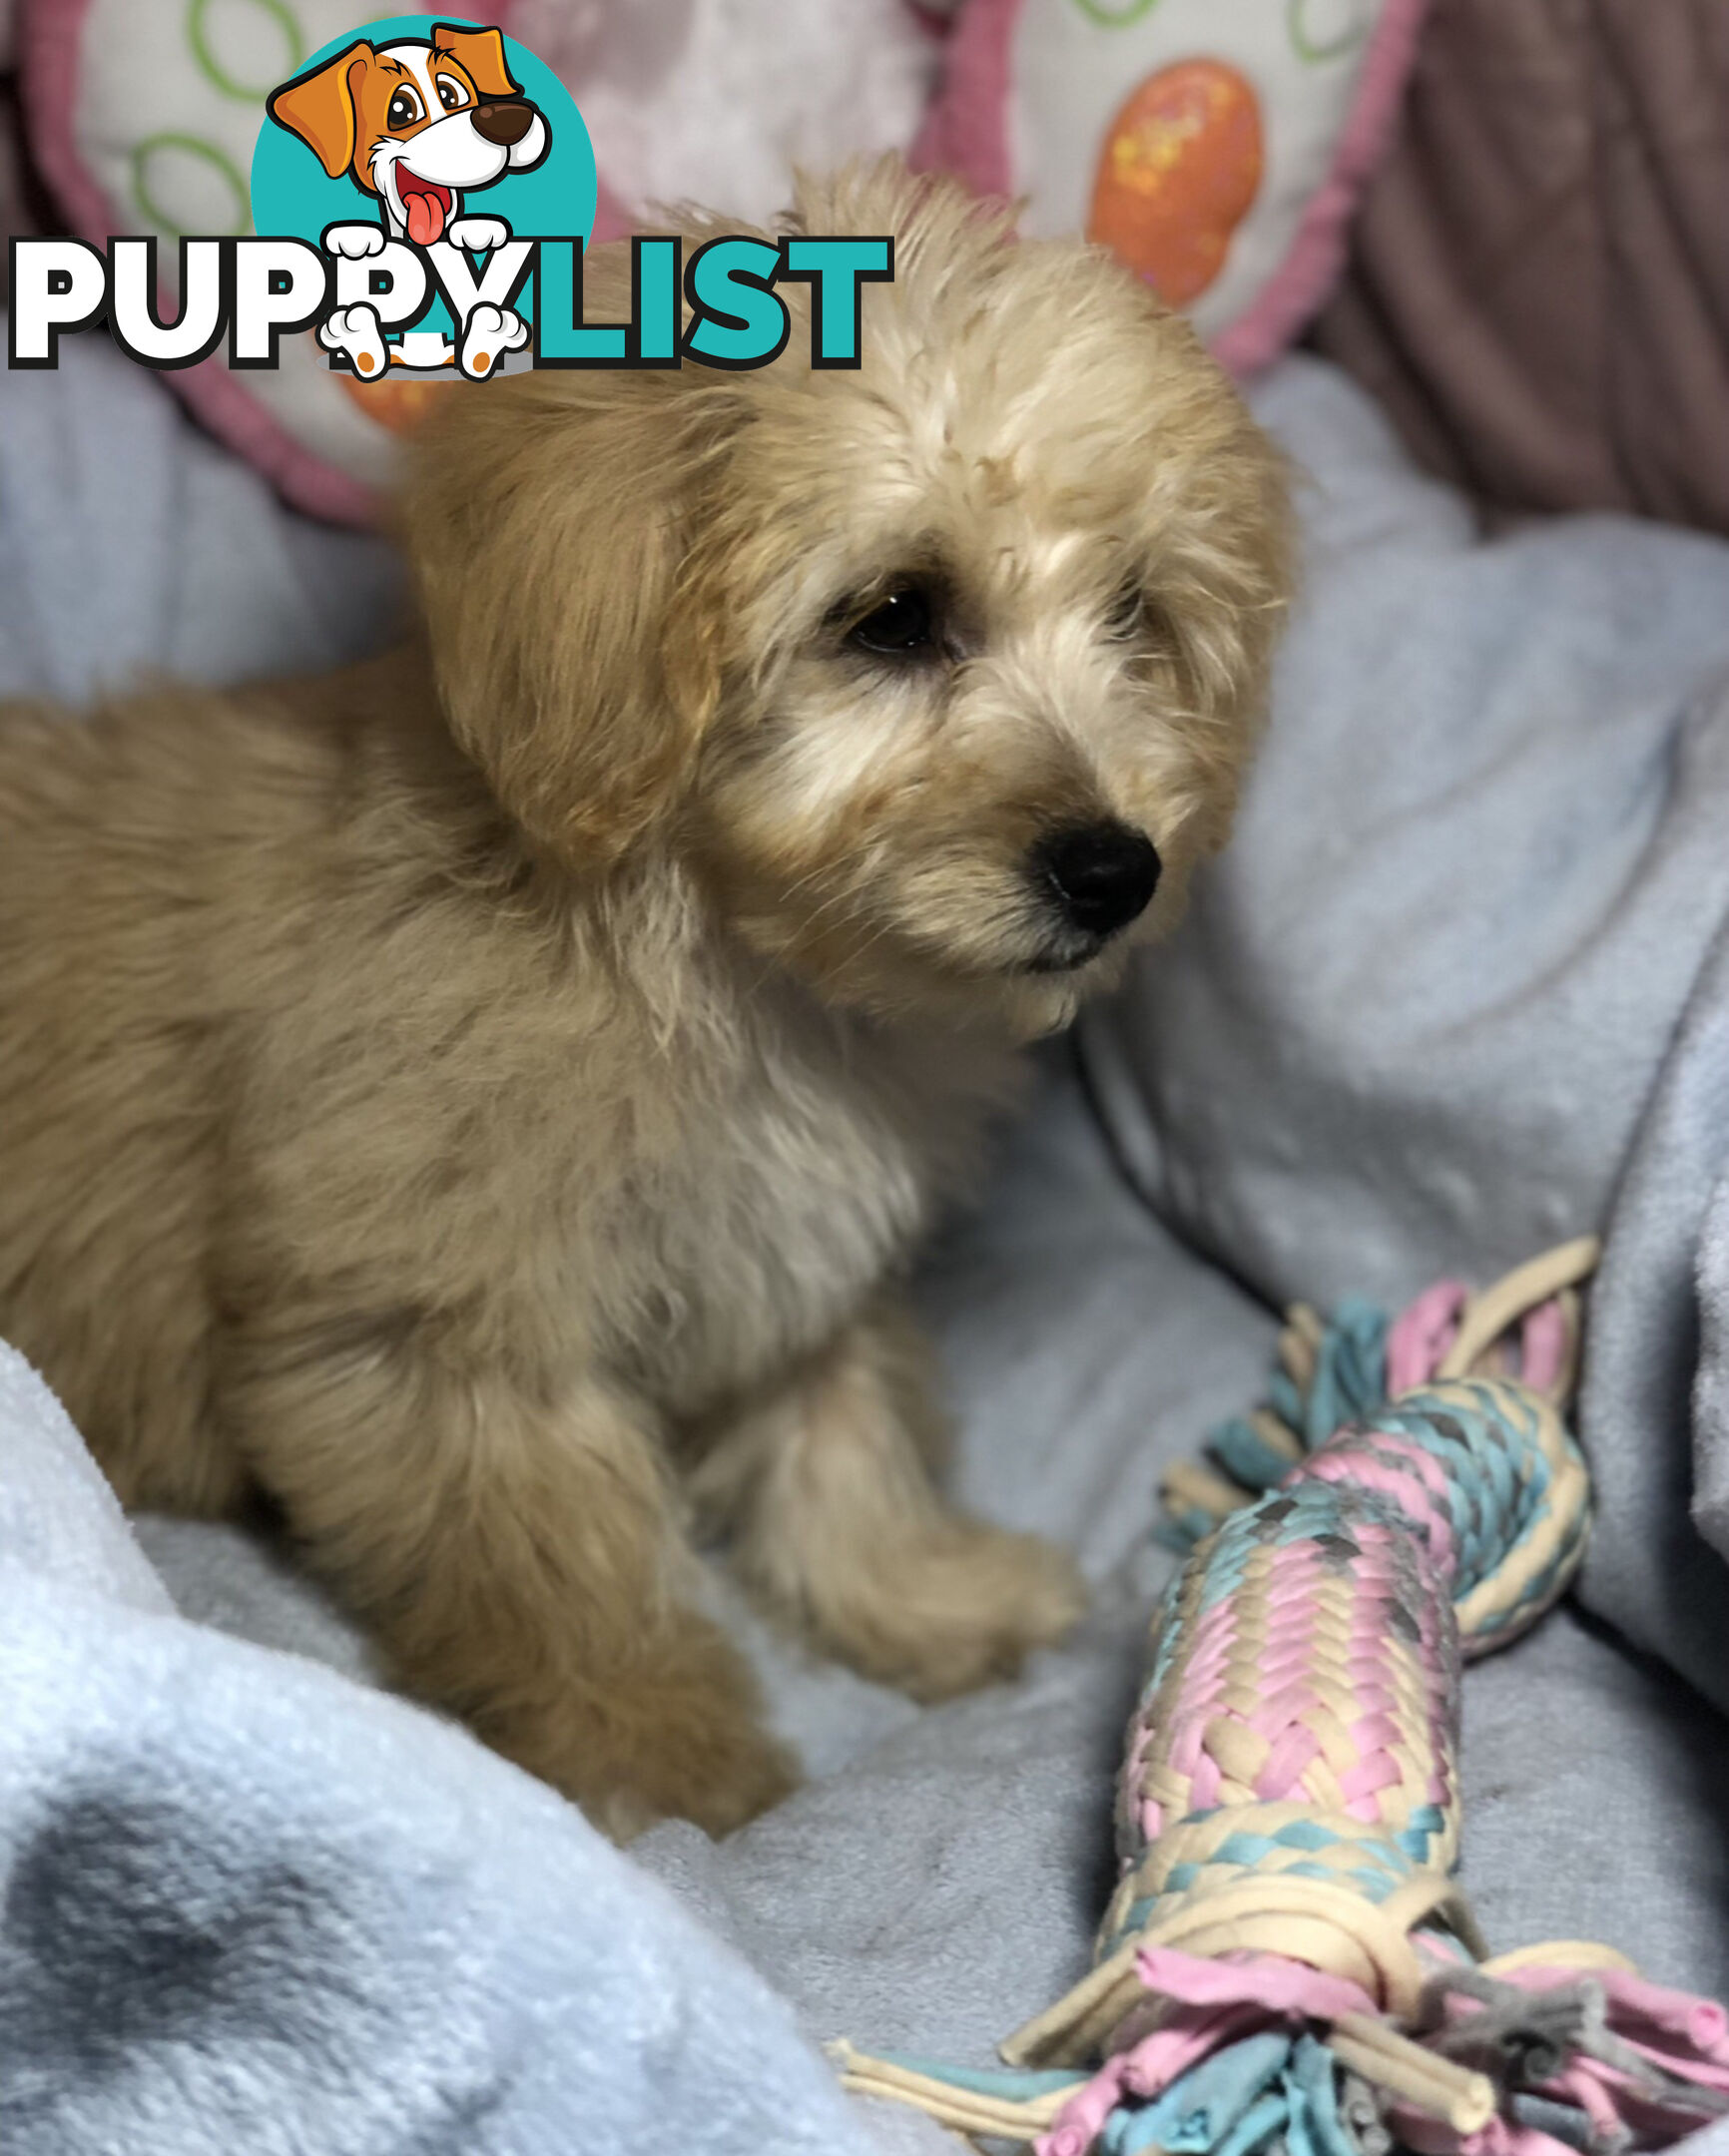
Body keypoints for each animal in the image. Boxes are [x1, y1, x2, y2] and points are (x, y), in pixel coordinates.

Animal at [0, 164, 1285, 1837]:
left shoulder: (790, 1260)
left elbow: (836, 1430)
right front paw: (663, 1772)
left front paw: (921, 1594)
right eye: (894, 612)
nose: (1115, 868)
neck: (719, 969)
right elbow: (561, 1576)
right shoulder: (441, 1338)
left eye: (1137, 614)